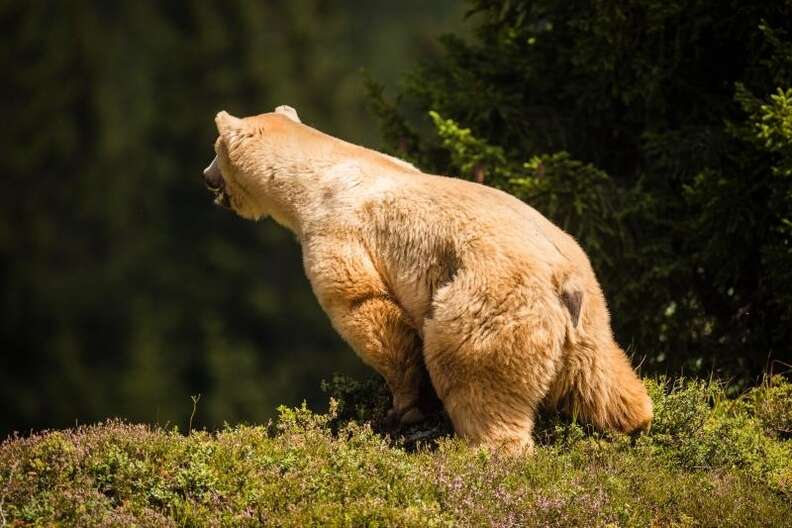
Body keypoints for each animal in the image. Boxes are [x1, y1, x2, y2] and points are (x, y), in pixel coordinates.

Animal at [203, 105, 648, 452]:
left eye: (214, 150)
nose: (207, 178)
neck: (316, 179)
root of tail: (563, 280)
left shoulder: (338, 230)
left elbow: (365, 307)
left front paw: (403, 408)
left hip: (490, 305)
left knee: (475, 378)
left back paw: (489, 448)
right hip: (590, 315)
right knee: (602, 379)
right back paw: (634, 421)